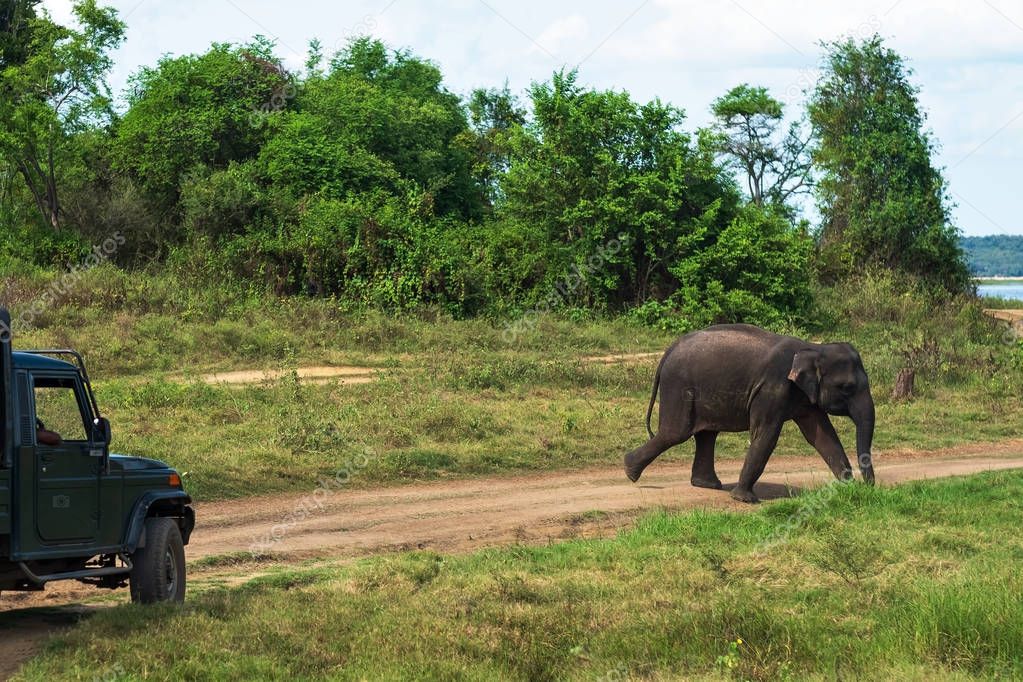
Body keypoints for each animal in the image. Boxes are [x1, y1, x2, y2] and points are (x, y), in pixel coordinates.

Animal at [617, 325, 875, 501]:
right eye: (847, 387)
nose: (870, 489)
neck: (814, 348)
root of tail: (667, 352)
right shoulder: (772, 388)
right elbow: (766, 434)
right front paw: (745, 500)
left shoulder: (805, 396)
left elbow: (822, 436)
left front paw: (848, 488)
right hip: (679, 387)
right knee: (675, 432)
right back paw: (630, 470)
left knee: (706, 434)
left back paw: (707, 485)